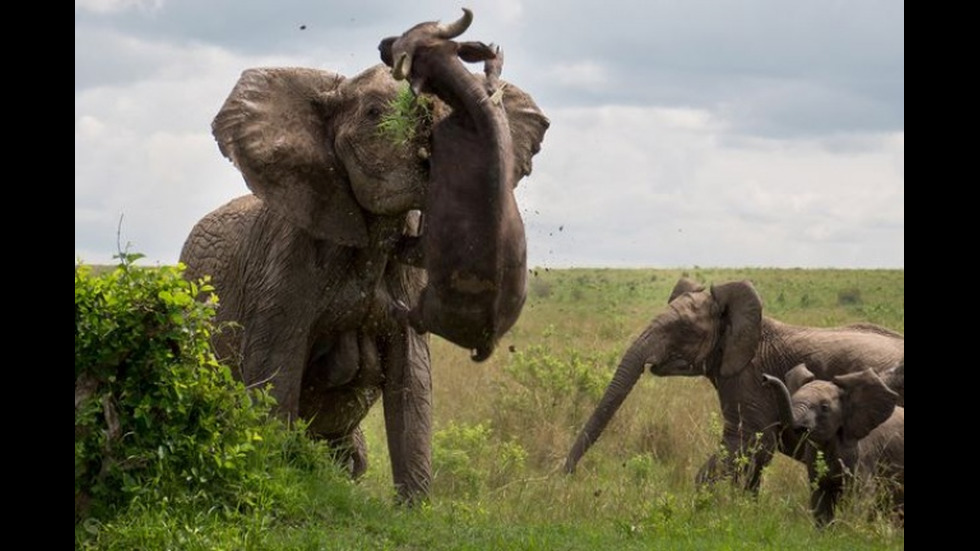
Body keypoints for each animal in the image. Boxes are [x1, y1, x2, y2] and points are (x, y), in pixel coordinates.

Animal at [378, 8, 548, 364]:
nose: (382, 43)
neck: (473, 109)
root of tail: (488, 339)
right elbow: (494, 77)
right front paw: (494, 60)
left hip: (425, 299)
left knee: (409, 313)